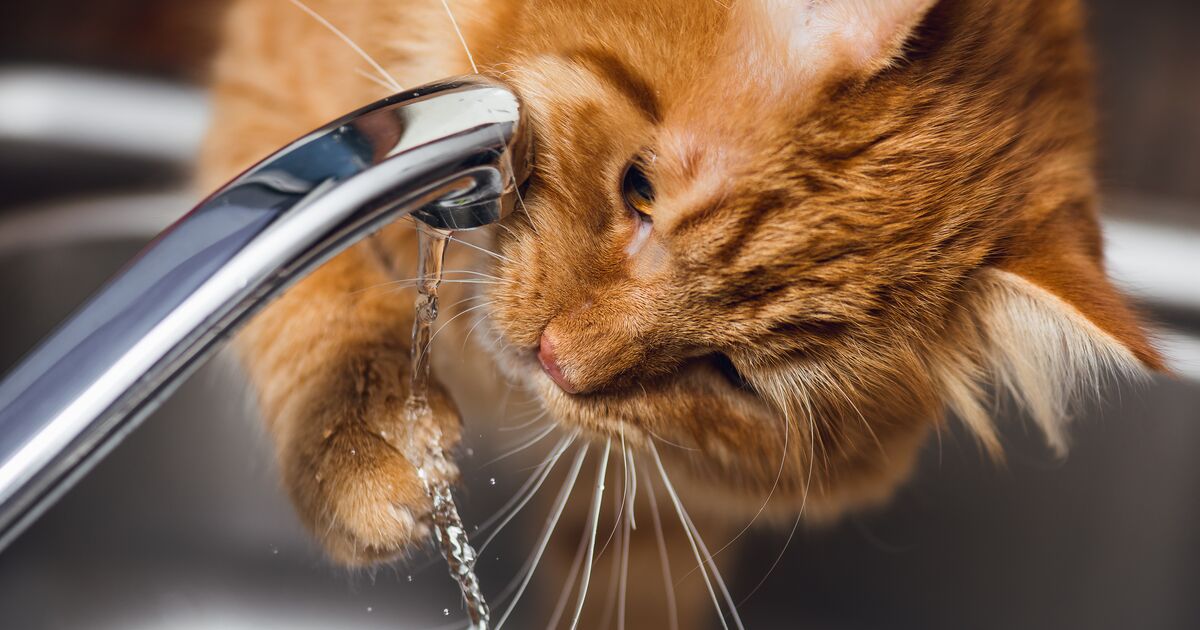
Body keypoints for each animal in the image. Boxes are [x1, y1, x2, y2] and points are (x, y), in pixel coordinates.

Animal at [199, 0, 1161, 624]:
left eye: (730, 372)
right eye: (640, 189)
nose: (556, 360)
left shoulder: (659, 522)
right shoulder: (285, 94)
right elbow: (320, 299)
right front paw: (375, 444)